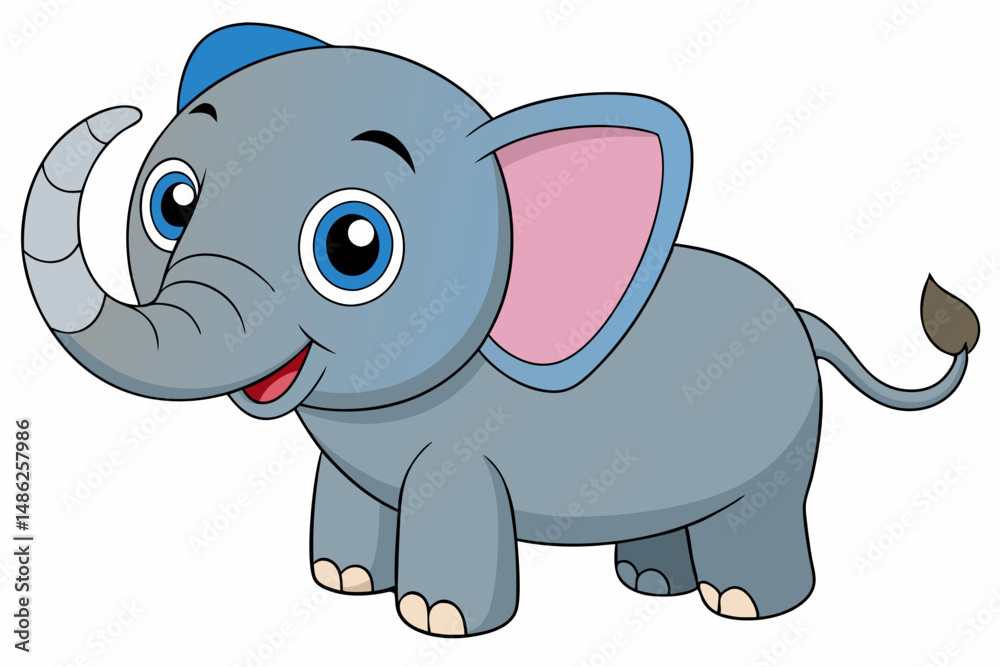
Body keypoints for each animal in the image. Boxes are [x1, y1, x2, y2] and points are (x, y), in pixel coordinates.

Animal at [22, 23, 980, 637]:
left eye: (354, 245)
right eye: (173, 202)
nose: (122, 116)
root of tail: (804, 316)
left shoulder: (463, 451)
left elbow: (455, 512)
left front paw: (436, 620)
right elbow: (350, 499)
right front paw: (344, 583)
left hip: (782, 438)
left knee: (763, 510)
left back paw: (743, 605)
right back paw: (650, 582)